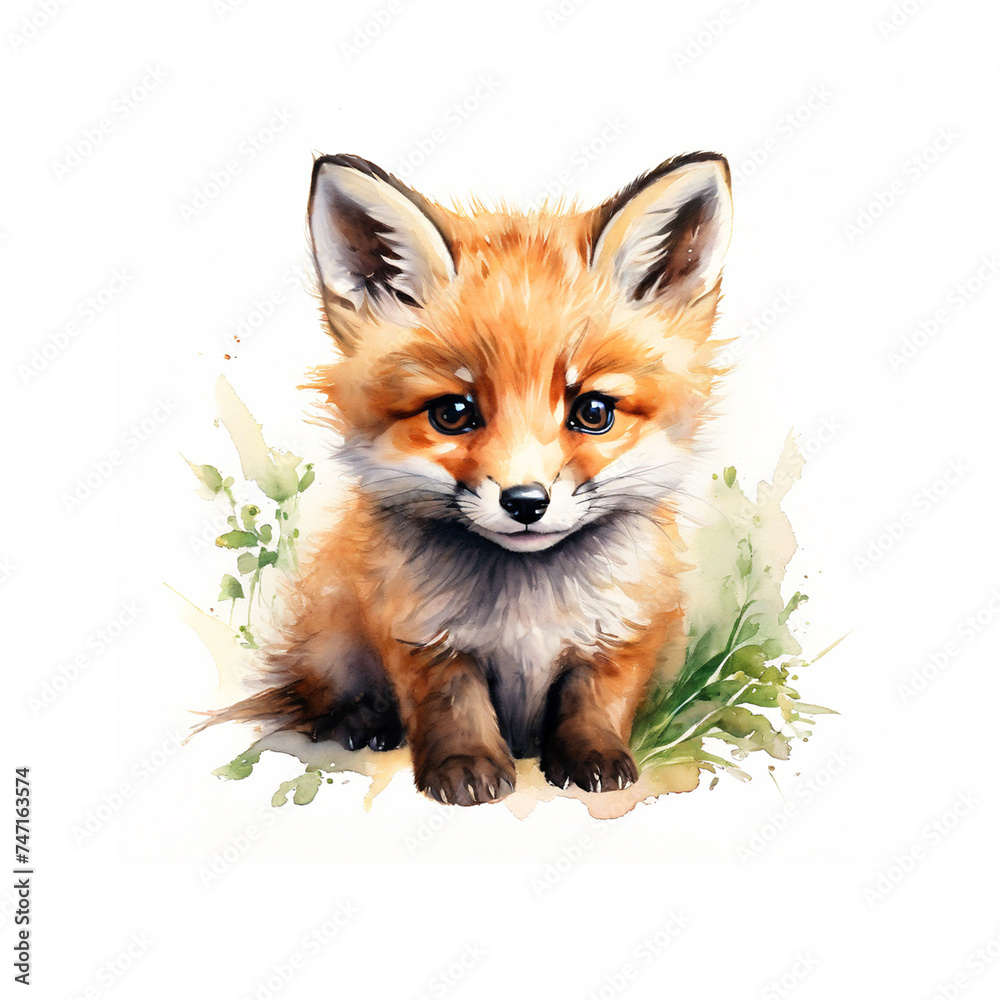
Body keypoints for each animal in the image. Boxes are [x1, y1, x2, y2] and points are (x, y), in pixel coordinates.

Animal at [203, 150, 734, 806]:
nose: (526, 502)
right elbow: (452, 706)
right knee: (317, 691)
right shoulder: (420, 634)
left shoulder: (626, 630)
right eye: (453, 414)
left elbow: (596, 699)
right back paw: (360, 720)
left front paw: (595, 757)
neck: (528, 611)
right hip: (333, 630)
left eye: (593, 412)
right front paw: (465, 768)